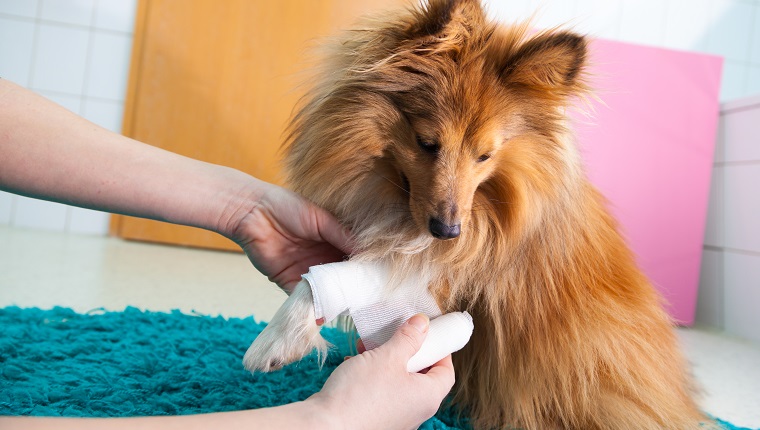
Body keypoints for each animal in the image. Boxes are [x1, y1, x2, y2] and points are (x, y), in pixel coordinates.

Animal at [245, 1, 712, 428]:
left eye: (485, 155)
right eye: (427, 142)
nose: (447, 231)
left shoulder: (452, 264)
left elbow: (334, 280)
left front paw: (274, 340)